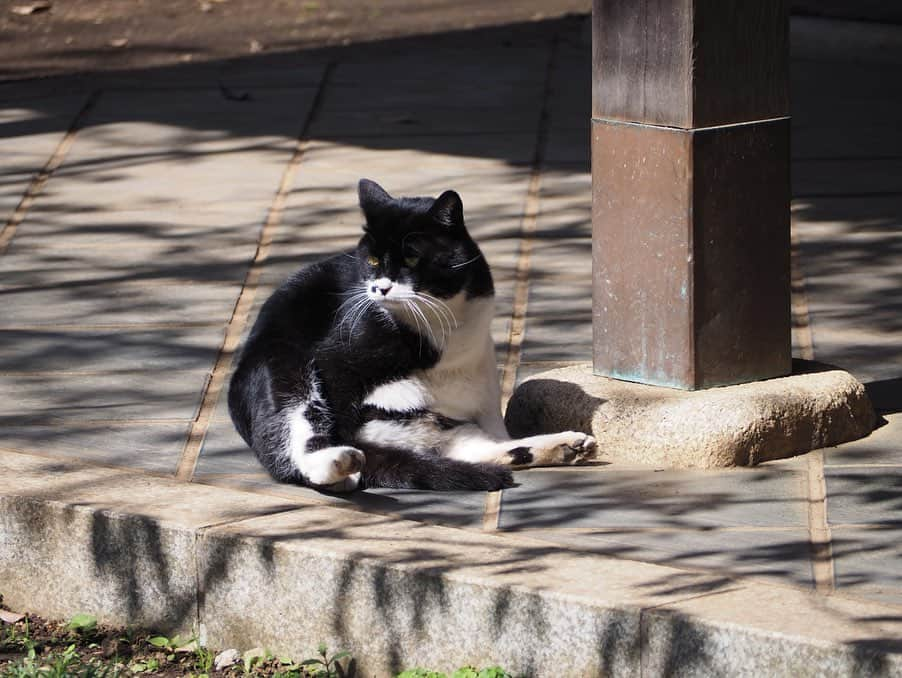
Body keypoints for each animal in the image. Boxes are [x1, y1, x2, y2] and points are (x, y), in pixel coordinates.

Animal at [226, 178, 596, 492]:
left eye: (412, 257)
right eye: (373, 260)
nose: (380, 288)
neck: (438, 320)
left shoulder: (483, 371)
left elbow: (490, 428)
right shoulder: (337, 358)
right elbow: (337, 412)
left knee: (470, 447)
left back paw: (566, 446)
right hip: (286, 370)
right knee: (302, 435)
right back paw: (342, 464)